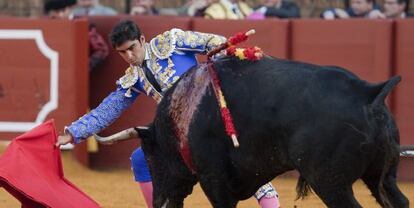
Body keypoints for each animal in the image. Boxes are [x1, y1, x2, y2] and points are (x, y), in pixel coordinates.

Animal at [98, 54, 410, 207]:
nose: (159, 201)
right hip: (381, 177)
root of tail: (368, 94)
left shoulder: (214, 181)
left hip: (330, 181)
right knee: (399, 201)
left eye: (152, 156)